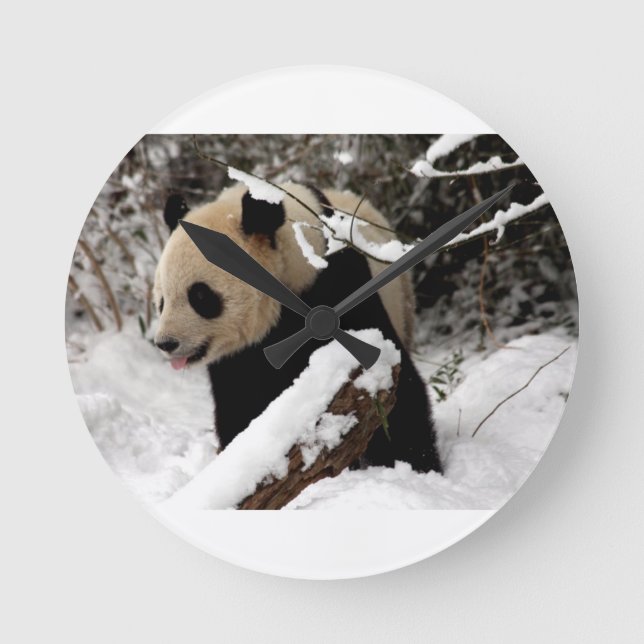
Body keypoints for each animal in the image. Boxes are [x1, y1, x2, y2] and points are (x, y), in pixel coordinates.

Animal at [154, 182, 442, 474]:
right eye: (162, 300)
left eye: (200, 296)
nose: (166, 343)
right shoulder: (239, 357)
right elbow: (240, 403)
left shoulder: (340, 285)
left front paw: (414, 466)